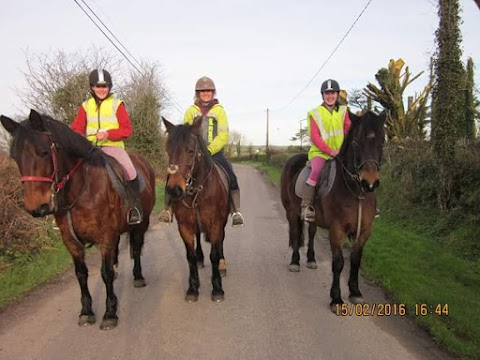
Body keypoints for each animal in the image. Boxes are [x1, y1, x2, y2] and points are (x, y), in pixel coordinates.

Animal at [0, 109, 156, 330]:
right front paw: (86, 312)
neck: (82, 188)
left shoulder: (105, 236)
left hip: (141, 223)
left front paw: (110, 313)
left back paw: (138, 277)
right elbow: (81, 274)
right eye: (15, 157)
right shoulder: (70, 240)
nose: (36, 207)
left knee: (136, 247)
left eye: (43, 152)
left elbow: (105, 273)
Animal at [162, 116, 230, 302]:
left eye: (191, 151)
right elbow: (190, 256)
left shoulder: (216, 224)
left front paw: (217, 289)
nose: (174, 190)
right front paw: (193, 288)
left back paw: (222, 264)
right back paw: (200, 259)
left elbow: (214, 254)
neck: (198, 190)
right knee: (198, 238)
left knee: (220, 243)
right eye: (168, 150)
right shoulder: (184, 225)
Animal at [282, 110, 386, 312]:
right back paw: (295, 262)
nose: (369, 183)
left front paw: (355, 292)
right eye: (356, 142)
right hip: (291, 212)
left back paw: (311, 260)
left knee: (311, 233)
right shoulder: (337, 230)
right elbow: (338, 263)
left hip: (313, 218)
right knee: (296, 233)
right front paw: (336, 299)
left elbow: (355, 260)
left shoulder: (364, 231)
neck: (356, 192)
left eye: (382, 141)